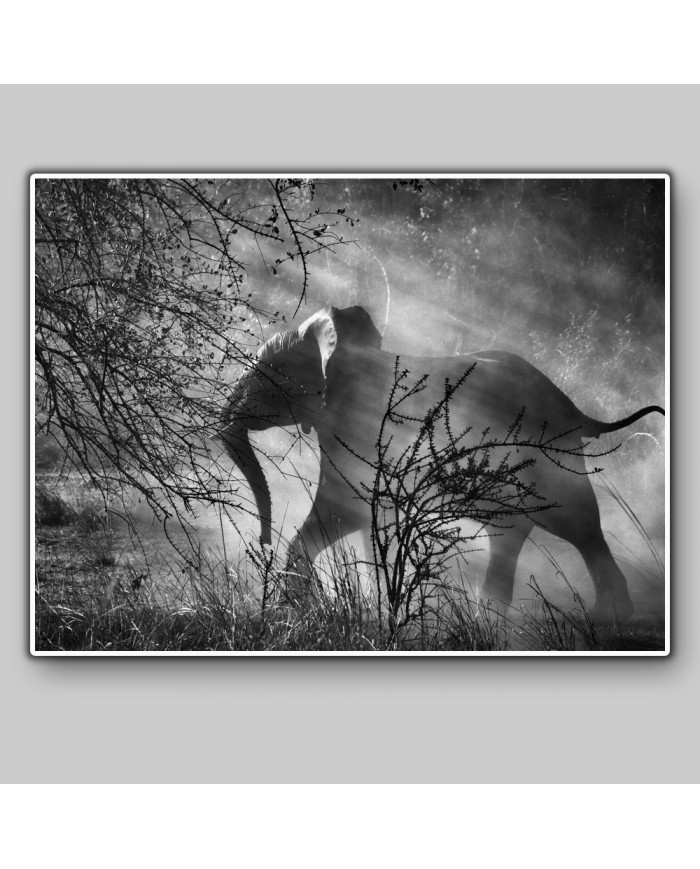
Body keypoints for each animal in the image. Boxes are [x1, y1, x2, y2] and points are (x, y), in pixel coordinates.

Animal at [220, 305, 665, 620]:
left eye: (266, 373)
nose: (261, 540)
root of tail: (575, 408)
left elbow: (345, 510)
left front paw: (292, 610)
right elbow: (365, 518)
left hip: (547, 453)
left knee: (574, 520)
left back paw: (606, 615)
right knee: (517, 530)